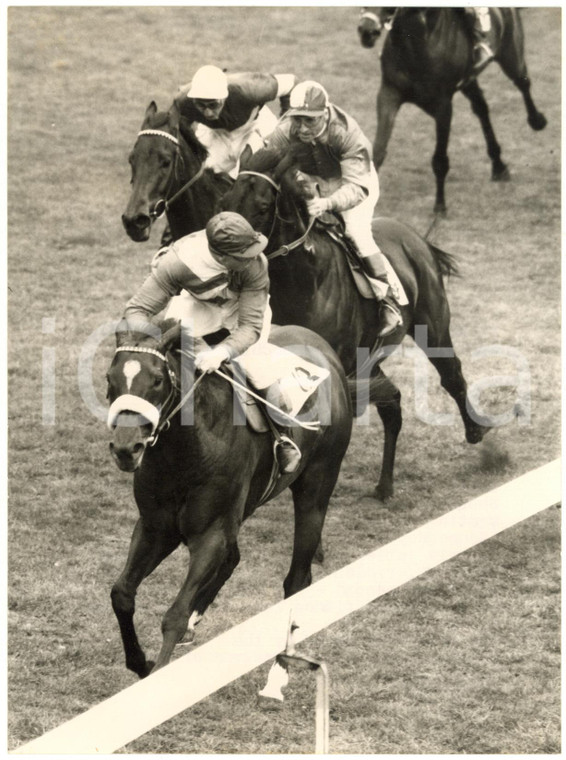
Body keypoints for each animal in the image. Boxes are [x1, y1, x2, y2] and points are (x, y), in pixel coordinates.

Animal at [106, 320, 352, 676]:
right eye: (110, 379)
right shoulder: (156, 528)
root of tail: (327, 352)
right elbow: (122, 593)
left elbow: (175, 615)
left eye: (156, 379)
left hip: (316, 489)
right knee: (233, 559)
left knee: (297, 579)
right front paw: (139, 662)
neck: (187, 453)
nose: (126, 448)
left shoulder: (211, 534)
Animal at [222, 149, 492, 502]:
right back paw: (384, 485)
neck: (304, 280)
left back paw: (476, 430)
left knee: (451, 375)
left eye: (264, 205)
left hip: (432, 325)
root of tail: (414, 236)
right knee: (392, 405)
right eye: (226, 198)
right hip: (369, 358)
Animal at [358, 7, 548, 214]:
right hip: (469, 80)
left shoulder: (443, 107)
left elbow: (440, 160)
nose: (366, 31)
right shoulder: (389, 93)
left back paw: (537, 120)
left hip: (511, 55)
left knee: (523, 83)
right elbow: (378, 151)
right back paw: (498, 165)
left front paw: (440, 206)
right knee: (482, 109)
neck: (417, 41)